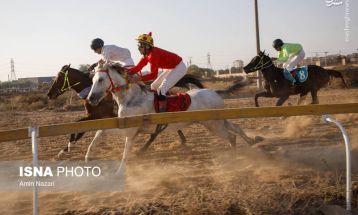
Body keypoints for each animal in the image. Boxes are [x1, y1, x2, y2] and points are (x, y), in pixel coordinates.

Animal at [46, 63, 204, 160]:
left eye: (58, 78)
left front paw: (66, 149)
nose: (49, 94)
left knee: (156, 132)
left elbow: (78, 128)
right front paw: (66, 150)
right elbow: (81, 129)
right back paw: (180, 141)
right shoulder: (97, 117)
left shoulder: (96, 115)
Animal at [86, 63, 260, 176]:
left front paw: (119, 171)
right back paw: (252, 142)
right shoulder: (124, 126)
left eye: (100, 79)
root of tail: (214, 91)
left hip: (213, 125)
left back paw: (234, 160)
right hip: (217, 120)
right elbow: (100, 130)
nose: (90, 98)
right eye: (92, 79)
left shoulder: (131, 131)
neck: (132, 98)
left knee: (231, 136)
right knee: (236, 128)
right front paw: (88, 157)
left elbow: (125, 152)